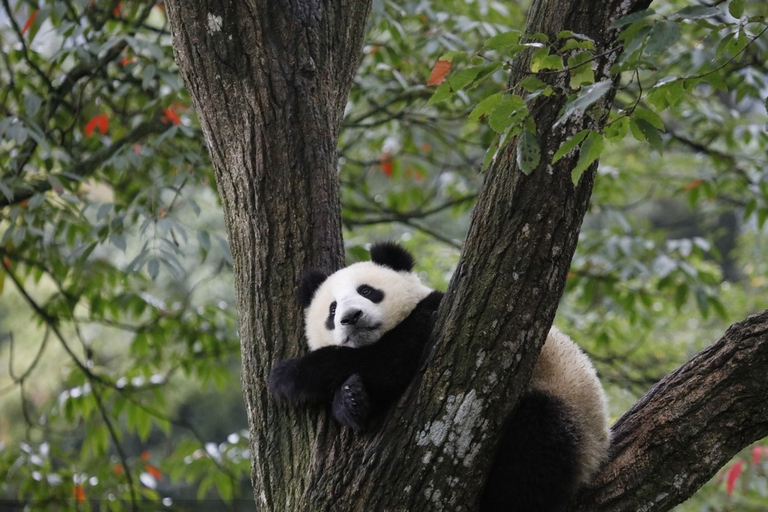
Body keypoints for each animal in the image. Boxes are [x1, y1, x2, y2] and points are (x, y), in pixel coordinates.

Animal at [269, 242, 610, 512]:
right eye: (332, 308)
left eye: (367, 291)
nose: (351, 317)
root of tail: (599, 451)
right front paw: (351, 400)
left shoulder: (437, 314)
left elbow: (391, 359)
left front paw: (289, 376)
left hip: (571, 414)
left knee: (536, 443)